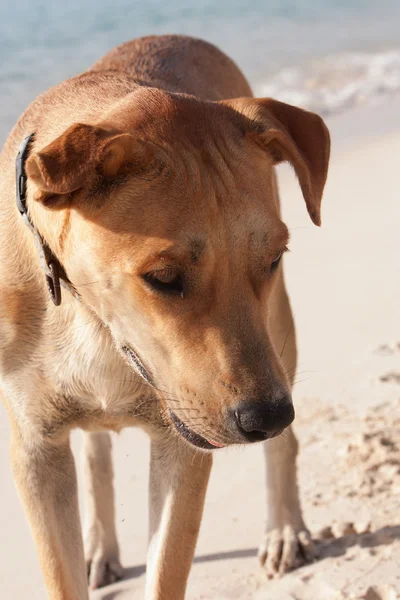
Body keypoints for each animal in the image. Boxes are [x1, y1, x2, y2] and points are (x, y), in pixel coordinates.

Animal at [0, 35, 330, 596]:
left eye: (271, 259)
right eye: (164, 277)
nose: (266, 418)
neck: (90, 317)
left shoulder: (183, 443)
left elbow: (166, 569)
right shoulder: (35, 449)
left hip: (278, 331)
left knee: (284, 443)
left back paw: (285, 527)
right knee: (96, 456)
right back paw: (102, 546)